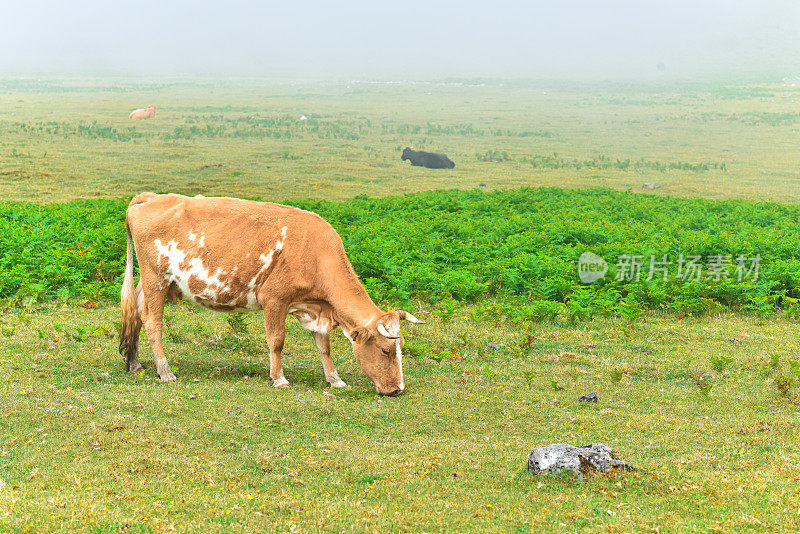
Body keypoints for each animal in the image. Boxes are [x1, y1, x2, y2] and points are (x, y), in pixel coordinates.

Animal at [118, 195, 424, 396]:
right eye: (386, 350)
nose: (397, 389)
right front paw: (279, 378)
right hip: (156, 280)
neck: (316, 253)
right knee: (153, 322)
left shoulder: (315, 310)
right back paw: (165, 371)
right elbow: (276, 342)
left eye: (400, 347)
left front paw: (334, 379)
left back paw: (134, 363)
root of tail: (153, 196)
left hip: (152, 283)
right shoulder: (275, 300)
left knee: (136, 314)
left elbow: (323, 346)